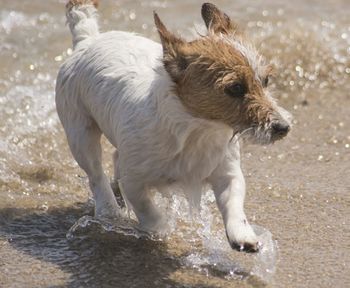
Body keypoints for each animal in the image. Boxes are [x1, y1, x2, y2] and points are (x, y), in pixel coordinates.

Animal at [56, 0, 292, 252]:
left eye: (265, 81)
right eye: (236, 88)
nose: (283, 127)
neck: (197, 129)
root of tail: (87, 40)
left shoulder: (227, 173)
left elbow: (234, 202)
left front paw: (242, 233)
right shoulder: (134, 181)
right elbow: (146, 209)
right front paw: (159, 229)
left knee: (115, 159)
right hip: (80, 134)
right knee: (95, 174)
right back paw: (108, 210)